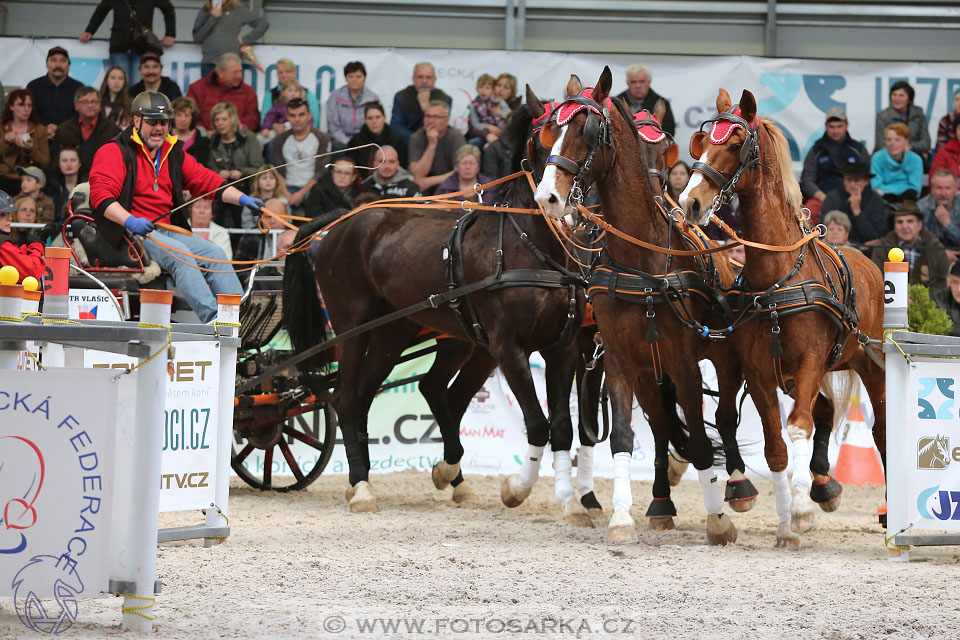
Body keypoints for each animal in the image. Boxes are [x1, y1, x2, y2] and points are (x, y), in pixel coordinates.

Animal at [532, 66, 752, 544]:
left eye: (588, 130)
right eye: (551, 130)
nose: (547, 197)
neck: (643, 259)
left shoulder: (684, 360)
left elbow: (702, 438)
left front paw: (718, 519)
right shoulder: (619, 358)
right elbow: (622, 436)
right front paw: (621, 518)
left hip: (722, 359)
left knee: (724, 416)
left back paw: (739, 484)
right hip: (650, 373)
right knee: (663, 425)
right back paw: (660, 501)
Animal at [684, 87, 884, 552]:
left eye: (735, 143)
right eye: (701, 143)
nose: (691, 201)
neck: (778, 277)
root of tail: (865, 259)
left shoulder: (810, 362)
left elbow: (798, 430)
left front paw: (801, 512)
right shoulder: (759, 371)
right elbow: (776, 446)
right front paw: (785, 524)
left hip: (867, 365)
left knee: (880, 429)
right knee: (826, 412)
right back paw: (823, 487)